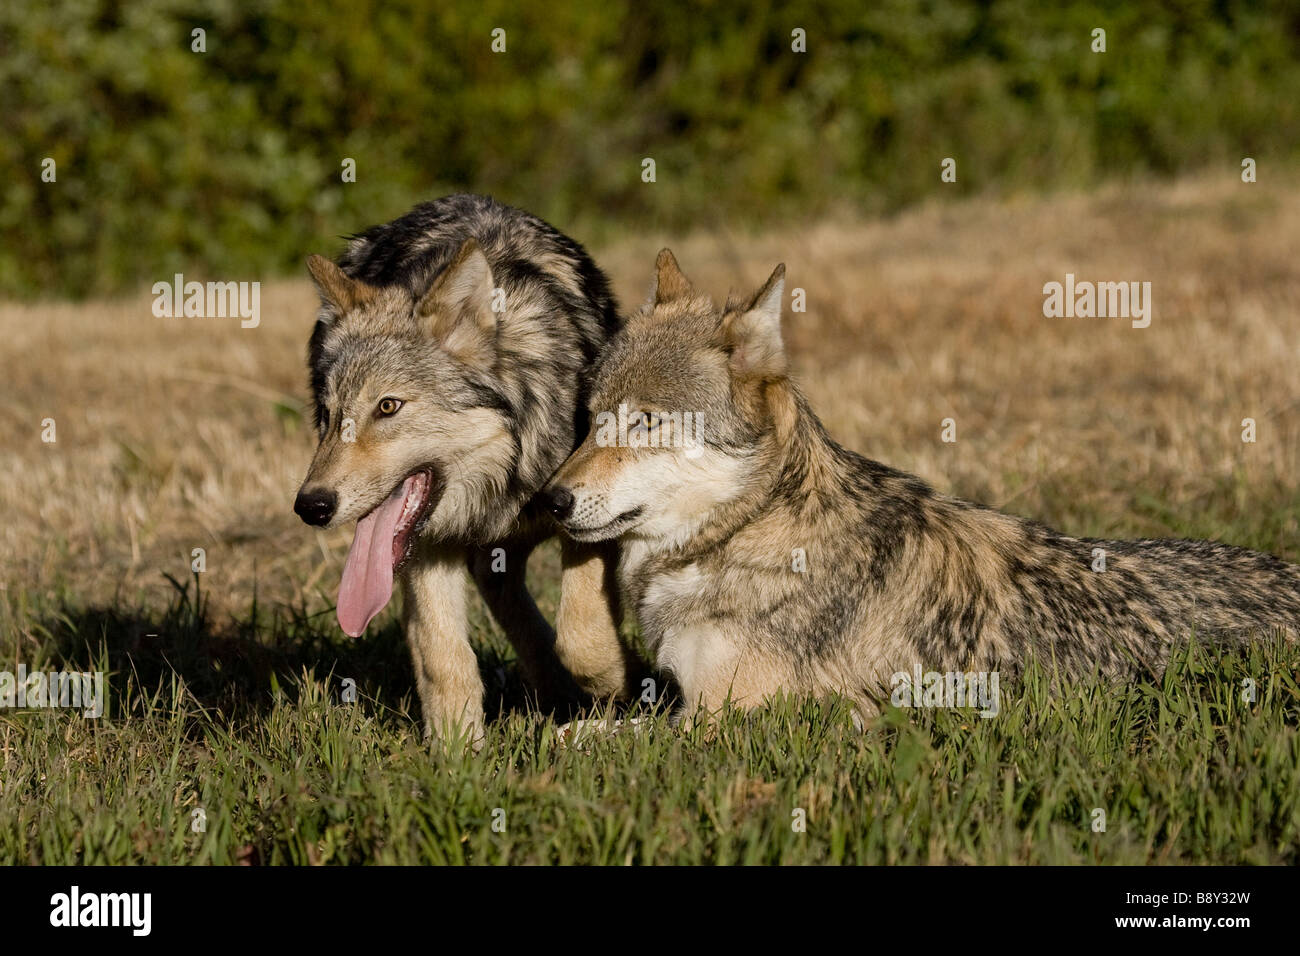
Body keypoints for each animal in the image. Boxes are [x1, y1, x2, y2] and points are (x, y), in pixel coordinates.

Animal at [291, 196, 644, 749]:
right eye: (328, 416)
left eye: (388, 407)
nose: (311, 506)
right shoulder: (426, 547)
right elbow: (444, 657)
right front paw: (458, 755)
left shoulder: (587, 510)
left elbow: (583, 636)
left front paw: (620, 681)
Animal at [540, 251, 1300, 723]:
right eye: (592, 419)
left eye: (646, 423)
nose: (551, 500)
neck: (751, 528)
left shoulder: (729, 718)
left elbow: (586, 739)